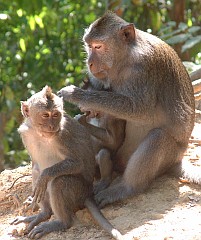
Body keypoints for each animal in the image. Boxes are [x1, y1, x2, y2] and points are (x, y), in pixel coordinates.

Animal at [11, 86, 124, 240]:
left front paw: (45, 176)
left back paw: (61, 222)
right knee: (37, 171)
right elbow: (35, 165)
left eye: (56, 115)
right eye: (45, 115)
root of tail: (87, 193)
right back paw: (43, 214)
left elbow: (77, 163)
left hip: (78, 191)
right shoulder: (25, 134)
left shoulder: (63, 135)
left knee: (58, 182)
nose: (52, 126)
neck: (40, 133)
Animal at [58, 11, 196, 208]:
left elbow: (141, 111)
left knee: (158, 137)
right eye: (89, 46)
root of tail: (177, 160)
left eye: (98, 46)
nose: (89, 63)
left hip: (170, 155)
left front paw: (77, 95)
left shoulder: (144, 69)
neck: (127, 58)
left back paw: (127, 188)